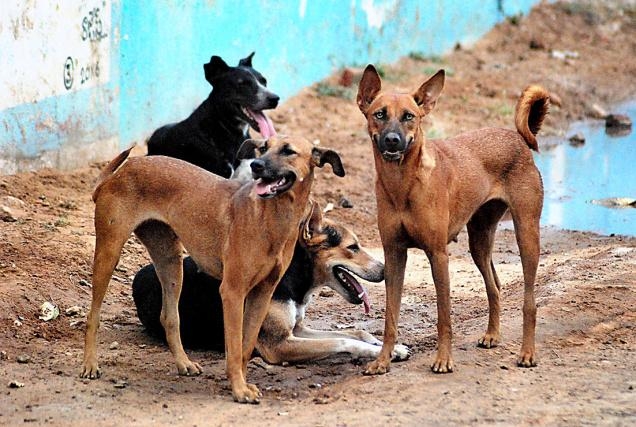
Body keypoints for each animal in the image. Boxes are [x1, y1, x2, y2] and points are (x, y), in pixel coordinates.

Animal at [82, 137, 346, 404]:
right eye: (262, 148)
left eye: (288, 151)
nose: (256, 166)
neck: (271, 217)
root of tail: (121, 171)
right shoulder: (232, 292)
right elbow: (235, 345)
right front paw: (239, 389)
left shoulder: (262, 293)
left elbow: (246, 346)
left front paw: (242, 384)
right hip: (109, 252)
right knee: (93, 316)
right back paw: (90, 365)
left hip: (171, 263)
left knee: (169, 318)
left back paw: (184, 363)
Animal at [132, 204, 410, 364]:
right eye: (352, 247)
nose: (385, 271)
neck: (291, 277)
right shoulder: (278, 345)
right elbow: (343, 341)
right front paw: (383, 352)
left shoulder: (297, 329)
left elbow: (355, 332)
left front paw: (388, 346)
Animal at [356, 65, 548, 376]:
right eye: (380, 114)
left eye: (409, 116)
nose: (393, 140)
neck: (402, 185)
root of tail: (517, 137)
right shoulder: (394, 255)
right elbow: (390, 318)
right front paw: (383, 360)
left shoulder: (438, 255)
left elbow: (443, 316)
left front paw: (444, 360)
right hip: (479, 241)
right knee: (494, 286)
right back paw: (492, 334)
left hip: (527, 234)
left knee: (529, 302)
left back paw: (527, 353)